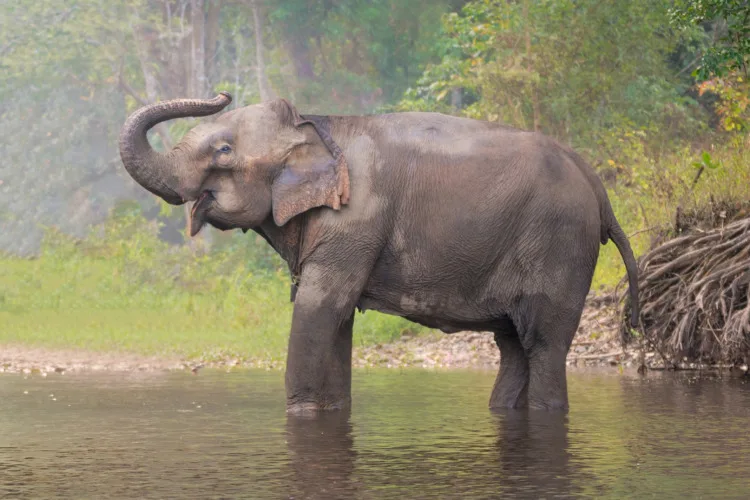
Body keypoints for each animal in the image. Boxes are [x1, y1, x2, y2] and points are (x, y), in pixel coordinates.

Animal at [117, 92, 640, 412]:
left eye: (224, 151)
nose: (222, 92)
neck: (317, 125)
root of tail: (598, 187)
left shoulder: (355, 220)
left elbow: (319, 309)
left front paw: (301, 413)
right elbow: (337, 320)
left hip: (559, 243)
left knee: (543, 343)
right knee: (512, 344)